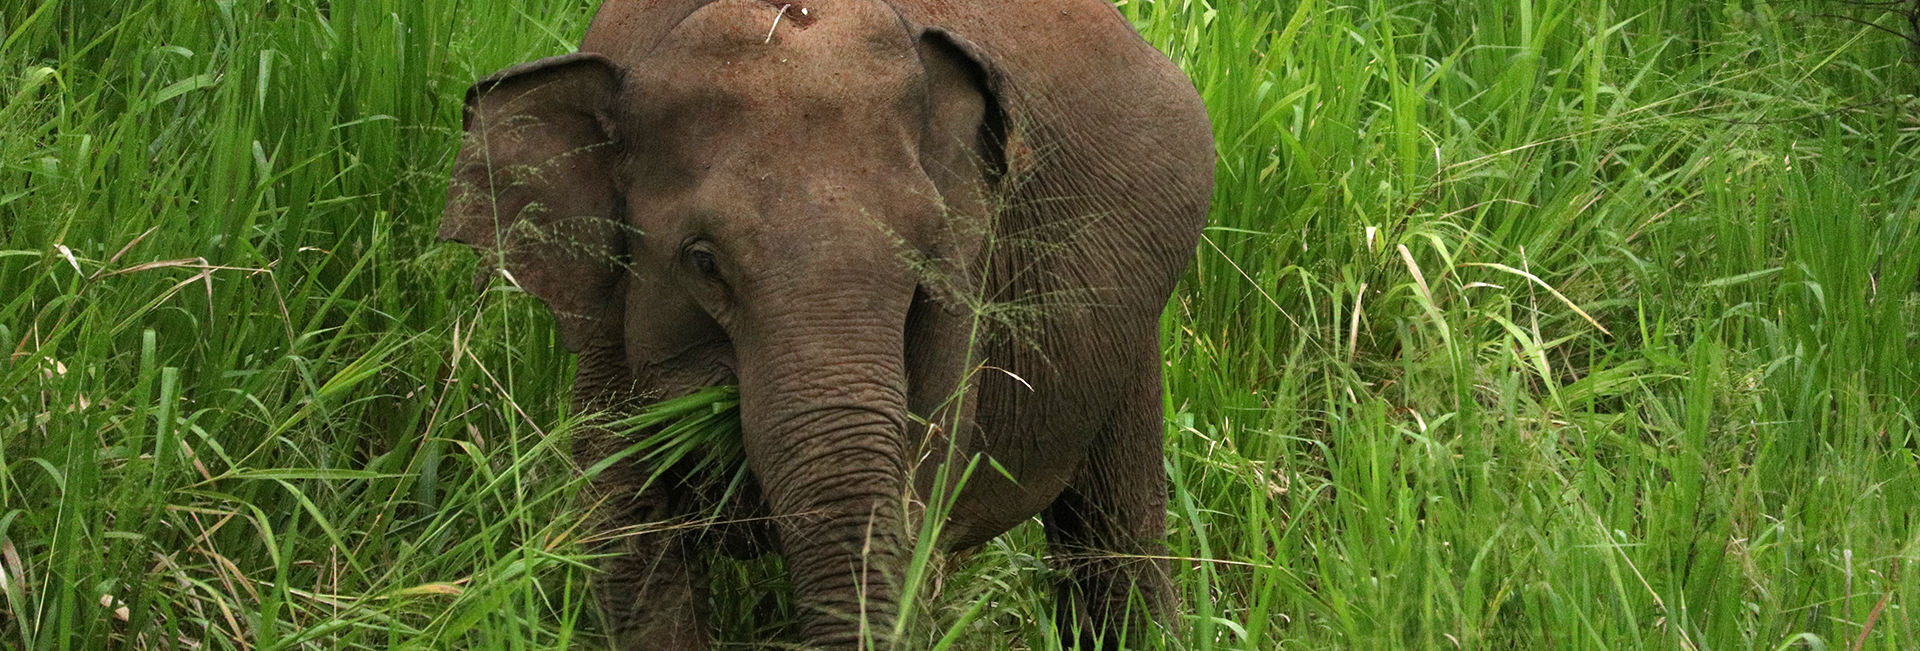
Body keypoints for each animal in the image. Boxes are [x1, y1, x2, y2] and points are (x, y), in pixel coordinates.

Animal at [438, 0, 1213, 648]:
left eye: (924, 255)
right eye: (703, 262)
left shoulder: (968, 279)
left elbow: (915, 502)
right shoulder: (604, 310)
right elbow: (630, 539)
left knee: (1115, 522)